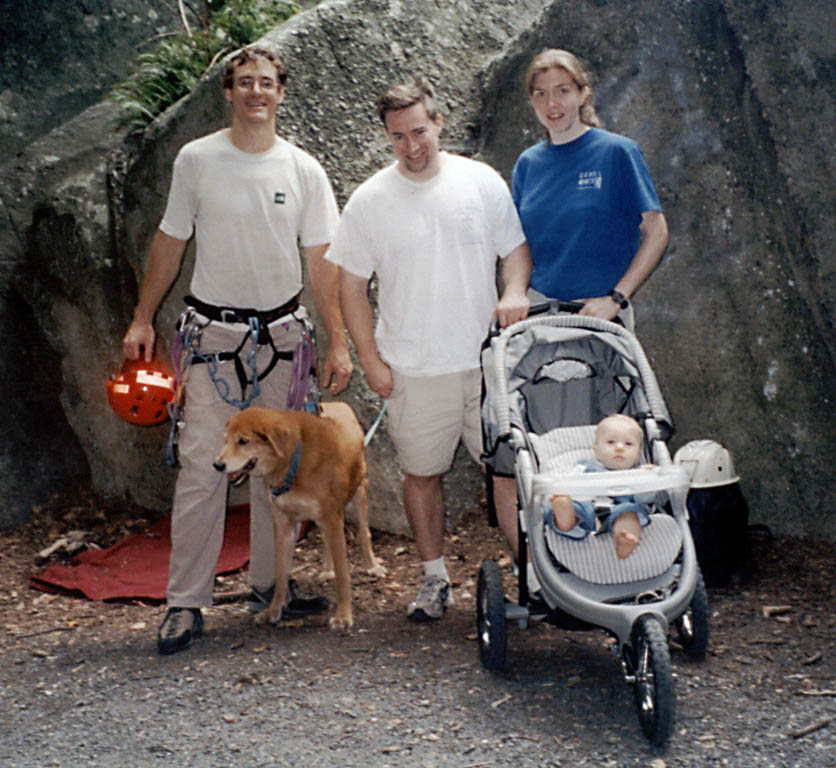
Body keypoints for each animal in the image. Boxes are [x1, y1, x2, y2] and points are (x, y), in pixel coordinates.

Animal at [214, 402, 386, 632]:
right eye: (225, 439)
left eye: (243, 441)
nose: (217, 465)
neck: (293, 460)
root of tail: (336, 403)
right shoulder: (284, 525)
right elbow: (280, 574)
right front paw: (273, 610)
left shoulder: (332, 518)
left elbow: (343, 576)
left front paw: (343, 616)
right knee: (326, 542)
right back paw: (327, 570)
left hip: (360, 492)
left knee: (364, 533)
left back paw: (372, 566)